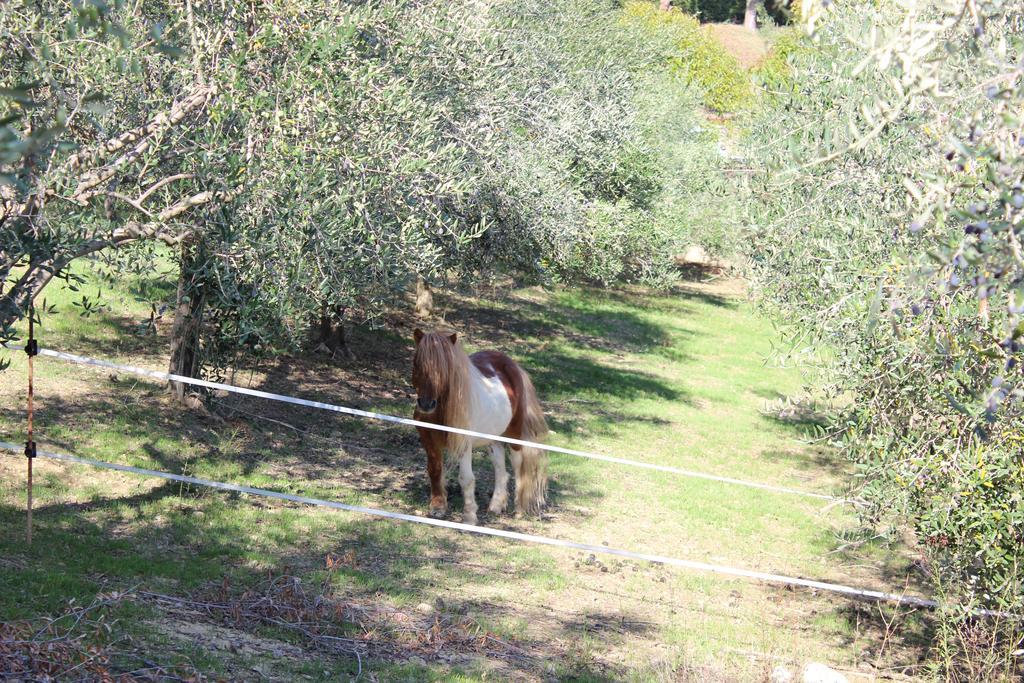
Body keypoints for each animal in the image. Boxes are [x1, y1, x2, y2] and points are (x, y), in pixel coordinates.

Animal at [409, 327, 548, 528]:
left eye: (445, 368)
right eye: (417, 363)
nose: (426, 404)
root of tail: (512, 365)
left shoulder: (463, 444)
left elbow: (466, 479)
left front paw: (469, 517)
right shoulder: (428, 439)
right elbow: (434, 470)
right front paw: (438, 507)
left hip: (514, 435)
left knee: (517, 465)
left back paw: (519, 510)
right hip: (493, 437)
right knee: (500, 467)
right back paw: (496, 506)